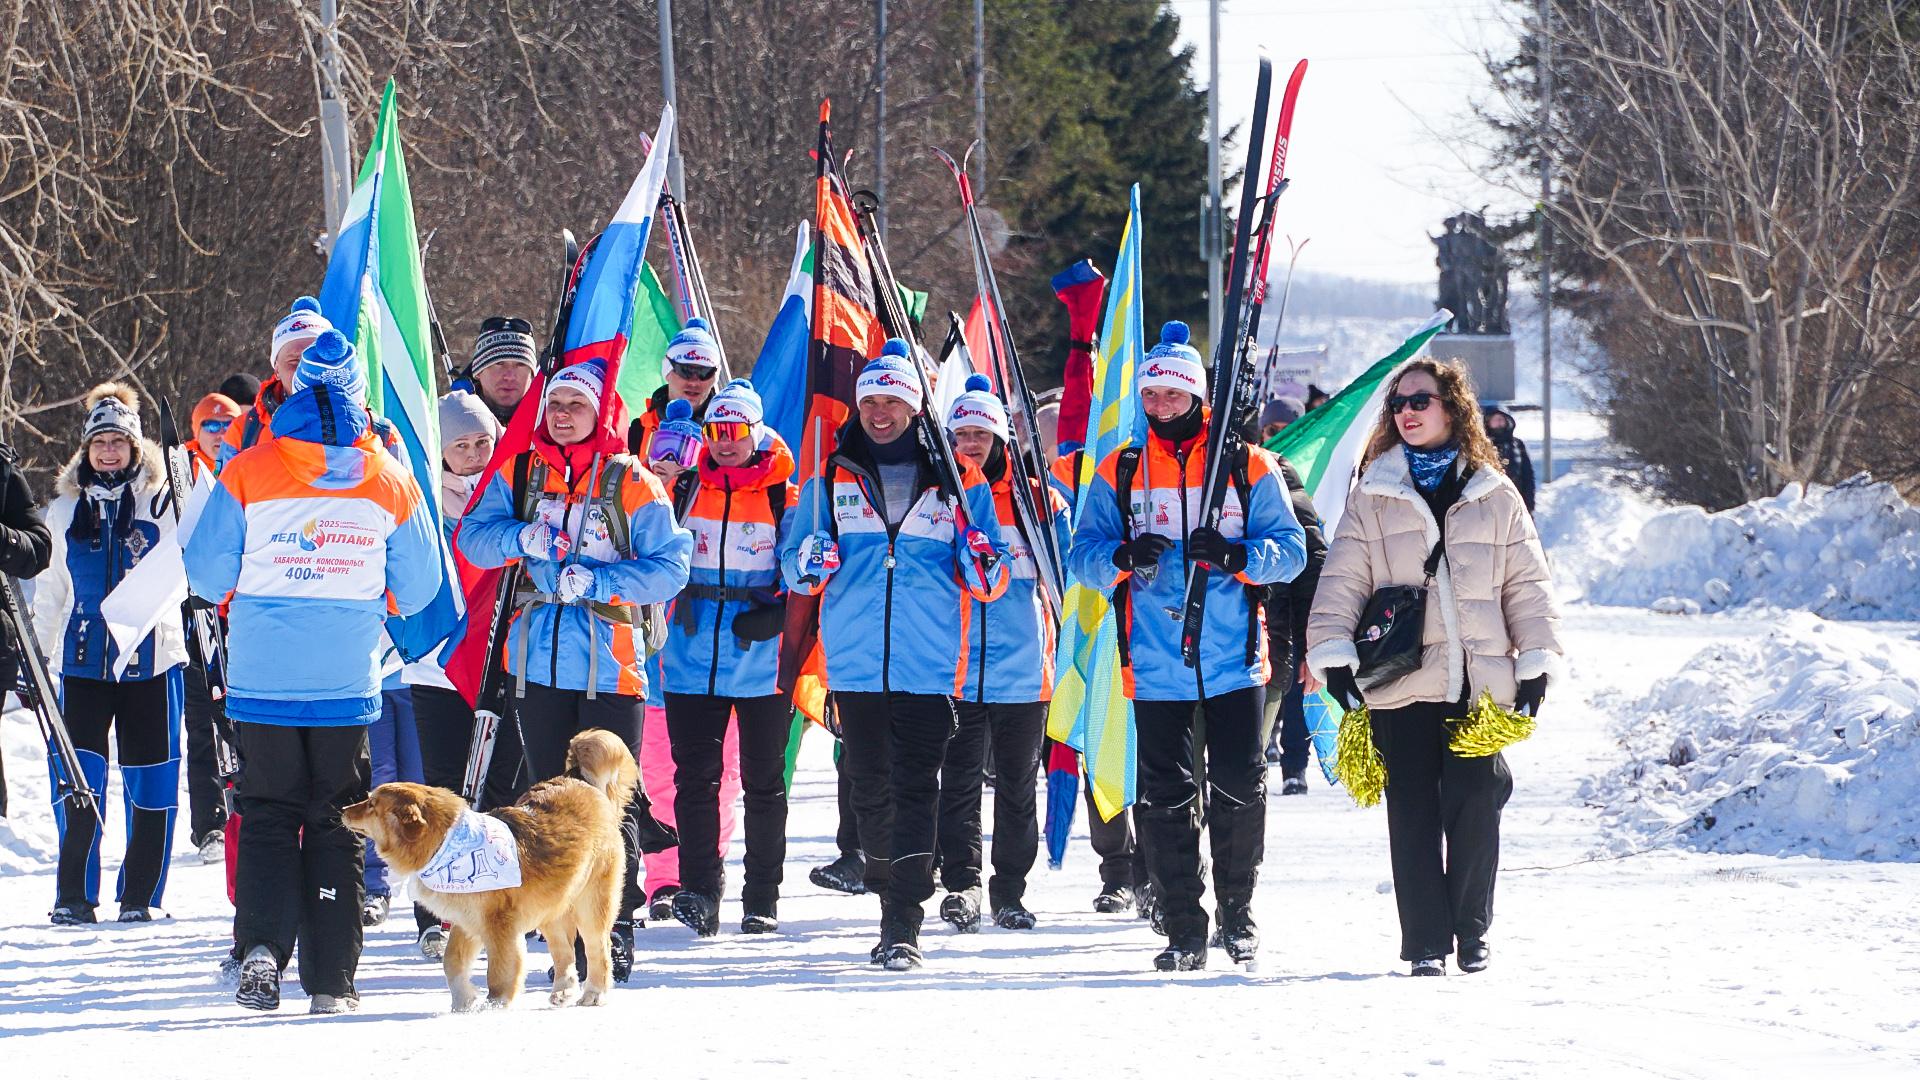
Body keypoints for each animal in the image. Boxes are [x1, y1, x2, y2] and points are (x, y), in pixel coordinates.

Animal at [343, 726, 637, 1006]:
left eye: (371, 805)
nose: (344, 809)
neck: (447, 844)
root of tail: (578, 778)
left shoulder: (499, 926)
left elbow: (500, 971)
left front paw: (495, 1004)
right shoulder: (466, 920)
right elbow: (452, 963)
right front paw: (463, 1001)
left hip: (591, 904)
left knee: (598, 949)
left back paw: (594, 994)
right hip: (551, 906)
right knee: (564, 952)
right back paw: (563, 991)